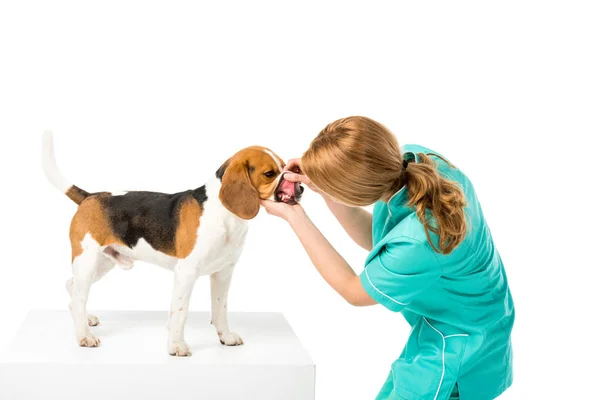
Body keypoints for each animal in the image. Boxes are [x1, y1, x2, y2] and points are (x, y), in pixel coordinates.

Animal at [41, 131, 302, 356]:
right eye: (270, 173)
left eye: (287, 169)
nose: (300, 187)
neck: (224, 215)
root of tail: (91, 196)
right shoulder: (186, 272)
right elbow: (180, 312)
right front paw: (176, 345)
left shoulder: (223, 273)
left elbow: (221, 309)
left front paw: (225, 336)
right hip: (87, 262)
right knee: (78, 296)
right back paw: (84, 335)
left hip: (103, 263)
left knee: (72, 289)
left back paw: (85, 320)